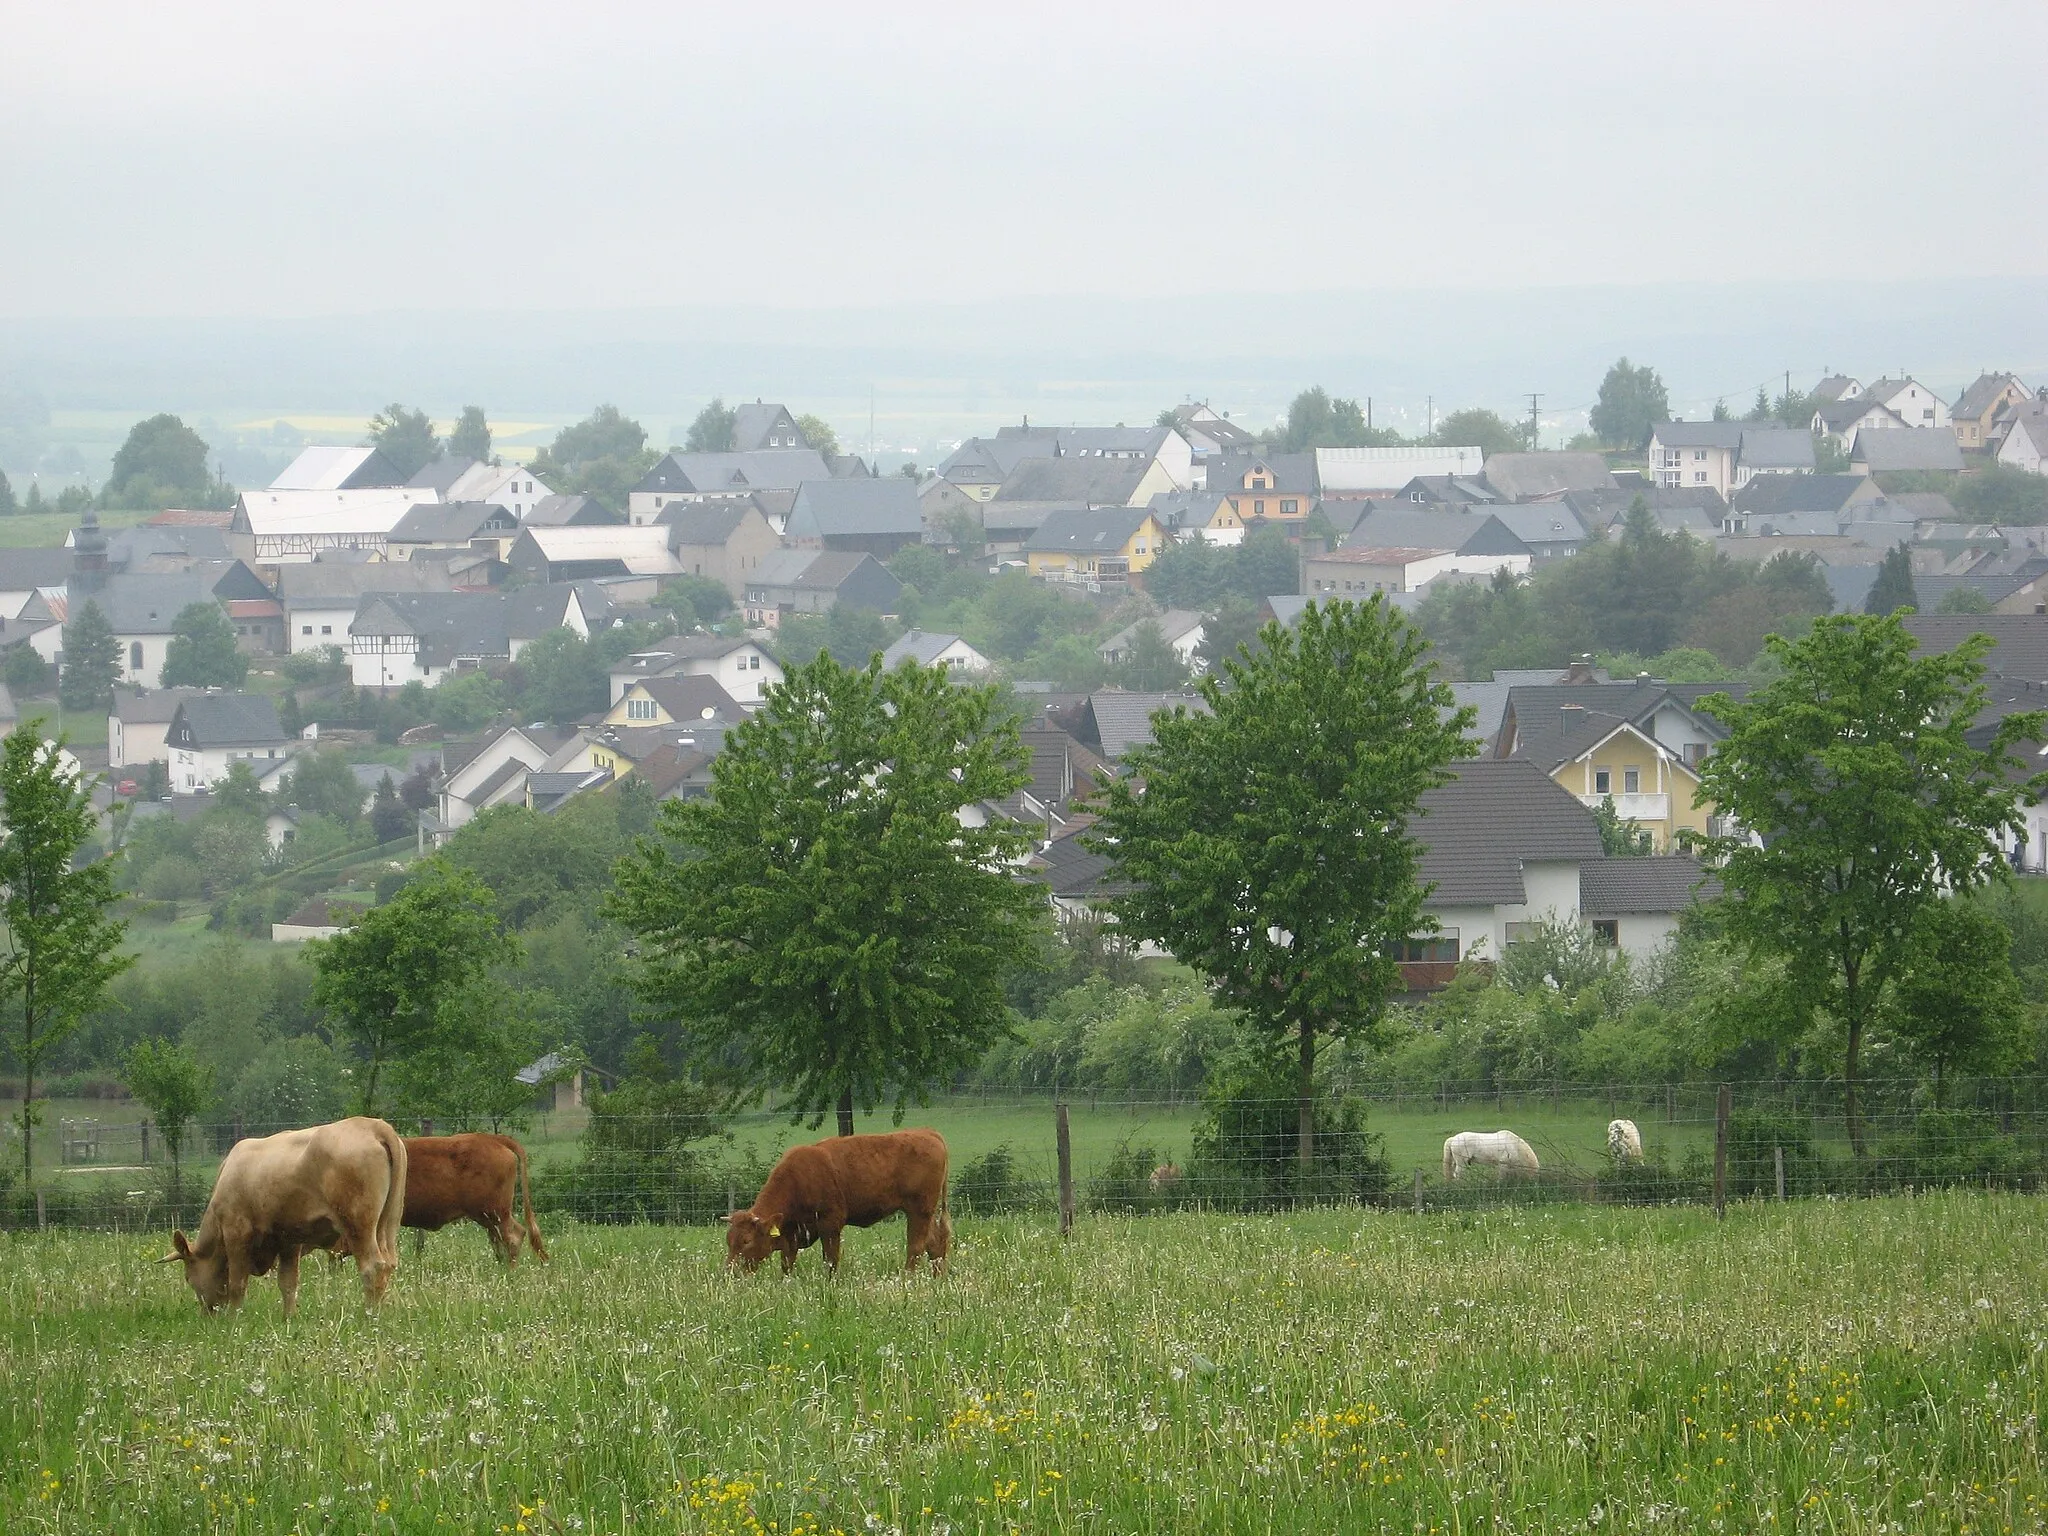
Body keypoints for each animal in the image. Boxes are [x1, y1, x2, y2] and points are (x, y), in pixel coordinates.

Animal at [161, 1114, 405, 1318]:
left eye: (187, 1277)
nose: (207, 1313)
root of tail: (373, 1125)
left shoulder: (236, 1233)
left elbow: (237, 1283)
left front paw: (233, 1319)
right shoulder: (289, 1240)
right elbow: (288, 1283)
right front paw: (289, 1318)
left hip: (358, 1225)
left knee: (372, 1266)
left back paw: (370, 1314)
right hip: (388, 1223)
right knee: (389, 1263)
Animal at [729, 1122, 950, 1277]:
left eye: (747, 1241)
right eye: (728, 1240)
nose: (730, 1273)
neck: (799, 1178)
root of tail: (928, 1132)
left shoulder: (830, 1225)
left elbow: (831, 1260)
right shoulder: (792, 1234)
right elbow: (787, 1263)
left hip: (919, 1210)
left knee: (916, 1246)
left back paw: (908, 1278)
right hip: (923, 1212)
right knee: (934, 1243)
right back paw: (937, 1278)